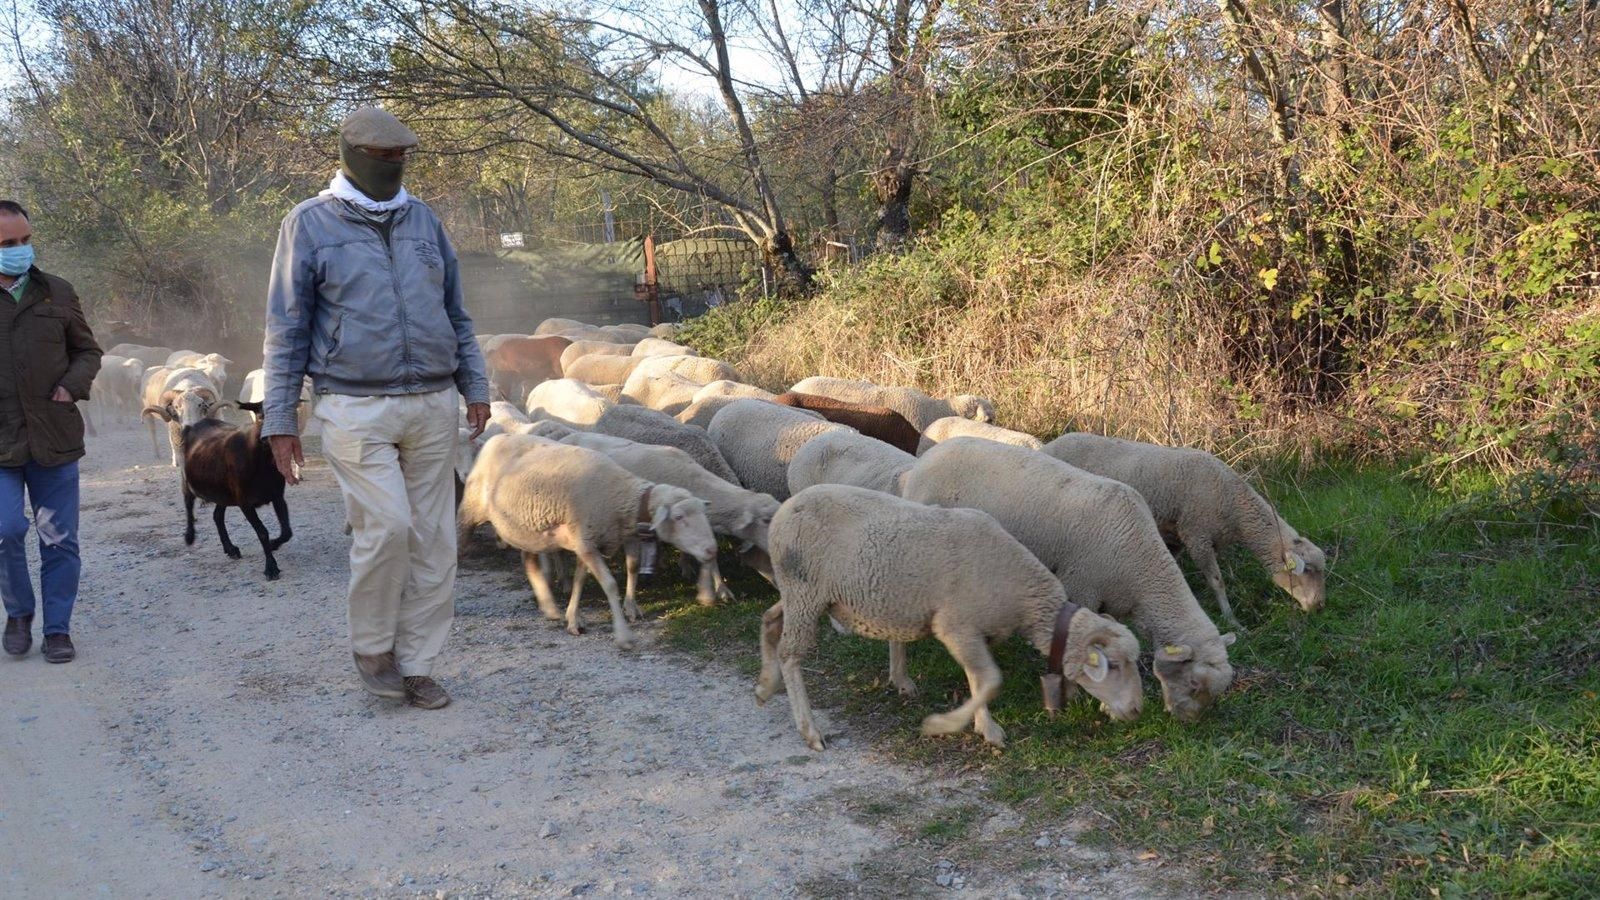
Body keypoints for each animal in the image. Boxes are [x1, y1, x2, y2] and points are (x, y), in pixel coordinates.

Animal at [173, 402, 291, 580]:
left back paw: (230, 549)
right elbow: (262, 532)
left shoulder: (277, 496)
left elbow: (286, 531)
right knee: (188, 501)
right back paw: (189, 536)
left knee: (217, 515)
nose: (268, 439)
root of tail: (194, 426)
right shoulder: (245, 502)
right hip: (189, 479)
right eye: (260, 415)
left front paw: (273, 545)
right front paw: (271, 568)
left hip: (223, 492)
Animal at [457, 436, 718, 649]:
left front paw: (575, 618)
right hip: (471, 508)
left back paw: (550, 607)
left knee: (529, 562)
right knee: (459, 540)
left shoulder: (590, 541)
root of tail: (497, 438)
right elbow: (609, 584)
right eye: (679, 517)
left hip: (524, 530)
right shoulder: (585, 542)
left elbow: (585, 579)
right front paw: (623, 636)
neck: (621, 496)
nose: (711, 549)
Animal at [756, 484, 1144, 750]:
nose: (1137, 711)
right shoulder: (955, 626)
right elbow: (990, 681)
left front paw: (979, 724)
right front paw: (951, 726)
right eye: (1114, 665)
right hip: (805, 591)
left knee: (770, 620)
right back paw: (809, 730)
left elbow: (978, 680)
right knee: (790, 654)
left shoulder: (975, 631)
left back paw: (765, 686)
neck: (1024, 594)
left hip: (802, 595)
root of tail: (784, 510)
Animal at [901, 439, 1237, 722]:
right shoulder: (1081, 587)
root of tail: (928, 456)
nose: (1187, 722)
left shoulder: (1111, 600)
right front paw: (1077, 695)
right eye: (1193, 682)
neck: (1142, 569)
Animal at [1041, 433, 1328, 628]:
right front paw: (1231, 620)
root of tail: (1048, 445)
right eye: (1308, 571)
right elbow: (1217, 581)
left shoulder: (1177, 537)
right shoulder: (1196, 534)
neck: (1234, 505)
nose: (1319, 608)